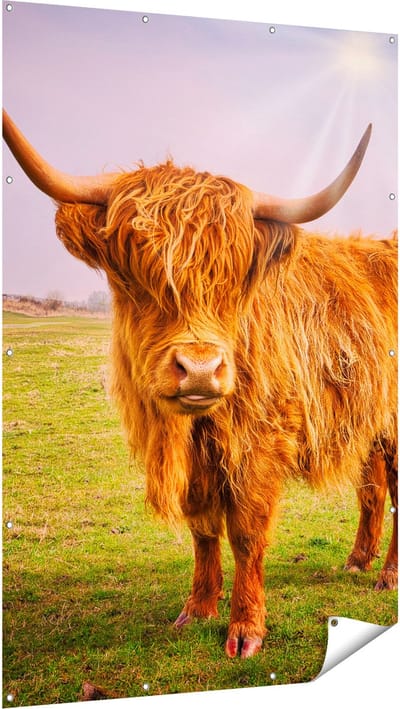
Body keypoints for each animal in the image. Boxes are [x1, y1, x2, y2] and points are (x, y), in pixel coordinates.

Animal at [3, 109, 397, 659]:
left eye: (234, 276)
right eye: (135, 271)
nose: (201, 368)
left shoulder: (259, 443)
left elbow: (246, 532)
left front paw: (246, 630)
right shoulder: (195, 461)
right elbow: (203, 528)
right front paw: (198, 609)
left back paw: (388, 576)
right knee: (373, 488)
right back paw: (359, 560)